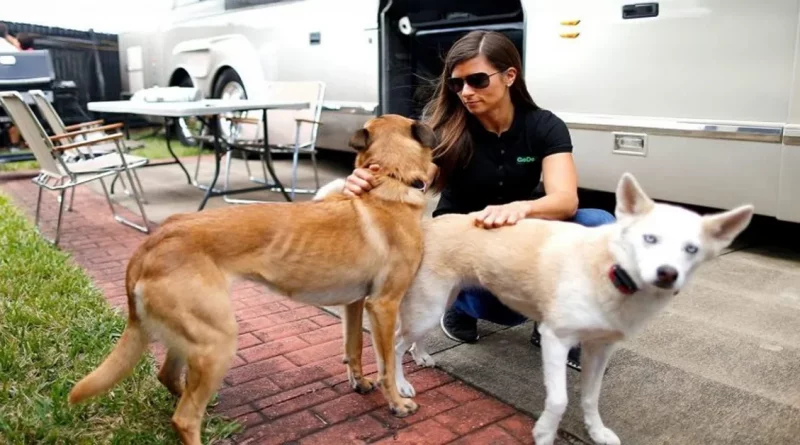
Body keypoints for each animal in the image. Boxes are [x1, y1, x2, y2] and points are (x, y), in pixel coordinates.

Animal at [69, 113, 438, 440]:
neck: (389, 180)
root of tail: (153, 241)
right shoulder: (383, 306)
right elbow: (387, 363)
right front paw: (397, 403)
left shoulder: (356, 302)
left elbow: (354, 347)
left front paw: (359, 383)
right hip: (217, 341)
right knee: (184, 417)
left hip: (191, 335)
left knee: (170, 379)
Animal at [390, 173, 752, 444]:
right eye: (649, 238)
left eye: (692, 249)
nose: (667, 273)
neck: (611, 273)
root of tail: (429, 223)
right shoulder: (555, 339)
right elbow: (559, 399)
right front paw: (544, 433)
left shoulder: (599, 350)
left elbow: (590, 397)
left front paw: (597, 431)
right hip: (429, 305)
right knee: (395, 343)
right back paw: (400, 386)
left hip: (440, 301)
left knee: (413, 337)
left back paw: (421, 356)